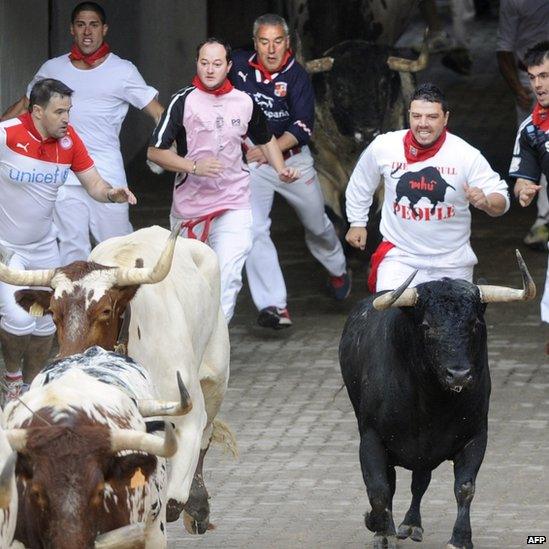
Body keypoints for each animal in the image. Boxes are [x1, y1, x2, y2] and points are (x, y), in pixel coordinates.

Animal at [338, 264, 536, 544]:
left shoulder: (476, 436)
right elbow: (379, 489)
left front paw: (461, 539)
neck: (432, 403)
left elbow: (464, 487)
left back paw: (412, 524)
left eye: (474, 323)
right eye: (426, 326)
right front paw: (380, 530)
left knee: (419, 482)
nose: (459, 375)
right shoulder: (371, 438)